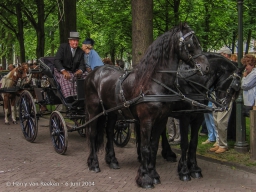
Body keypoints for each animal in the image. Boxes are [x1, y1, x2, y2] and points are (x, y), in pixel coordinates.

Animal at [85, 22, 209, 189]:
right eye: (191, 43)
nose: (206, 67)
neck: (154, 83)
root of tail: (95, 72)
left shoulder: (162, 119)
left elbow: (153, 146)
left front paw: (153, 174)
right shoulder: (146, 121)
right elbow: (144, 148)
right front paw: (144, 178)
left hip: (112, 113)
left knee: (109, 132)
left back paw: (112, 160)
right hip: (94, 110)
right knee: (92, 134)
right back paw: (93, 164)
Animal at [151, 53, 243, 182]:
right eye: (234, 85)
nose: (224, 105)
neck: (192, 84)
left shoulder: (198, 117)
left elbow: (193, 143)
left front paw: (194, 168)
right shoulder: (184, 117)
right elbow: (184, 143)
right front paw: (184, 170)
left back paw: (168, 153)